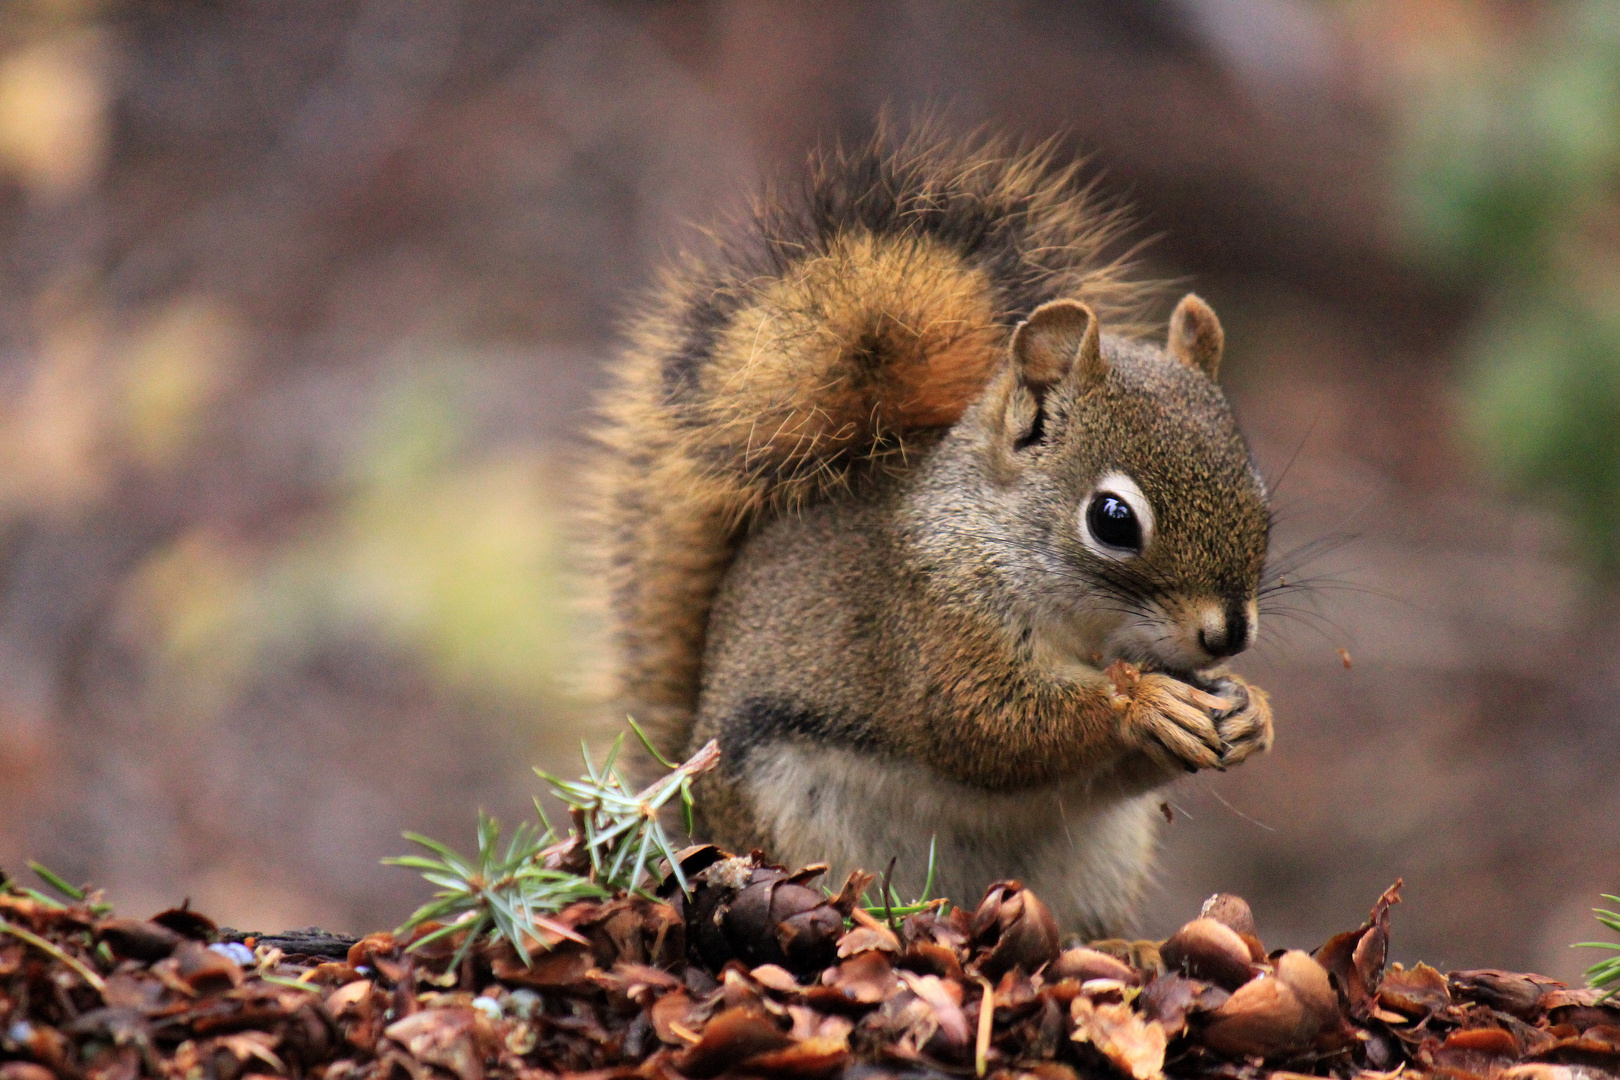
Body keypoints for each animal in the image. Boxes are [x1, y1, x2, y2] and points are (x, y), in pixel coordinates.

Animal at [589, 128, 1270, 939]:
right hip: (785, 812)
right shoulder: (927, 624)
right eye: (1113, 519)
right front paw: (1142, 703)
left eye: (1259, 488)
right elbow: (981, 723)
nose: (1227, 635)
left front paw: (1252, 714)